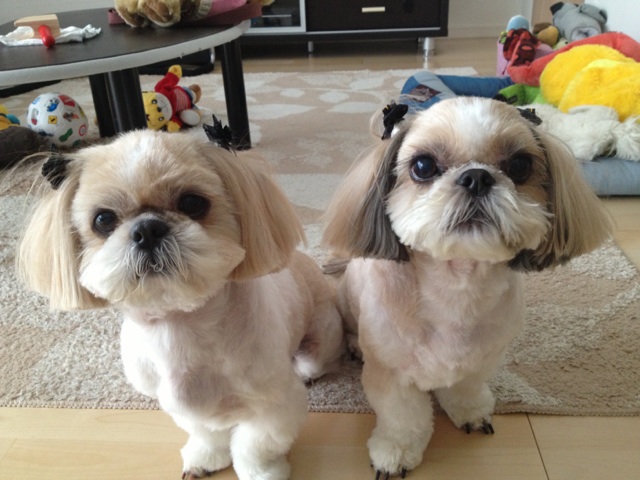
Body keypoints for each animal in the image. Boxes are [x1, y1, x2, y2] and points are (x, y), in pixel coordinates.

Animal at [16, 130, 345, 480]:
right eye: (103, 219)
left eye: (192, 202)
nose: (147, 229)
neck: (181, 326)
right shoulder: (181, 405)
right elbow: (207, 433)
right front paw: (205, 457)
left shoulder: (274, 405)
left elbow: (255, 445)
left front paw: (260, 472)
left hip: (318, 341)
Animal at [322, 97, 612, 478]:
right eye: (423, 166)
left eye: (520, 165)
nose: (476, 177)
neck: (456, 286)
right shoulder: (391, 374)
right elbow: (402, 418)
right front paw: (396, 452)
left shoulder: (482, 358)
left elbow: (466, 388)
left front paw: (470, 413)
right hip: (346, 303)